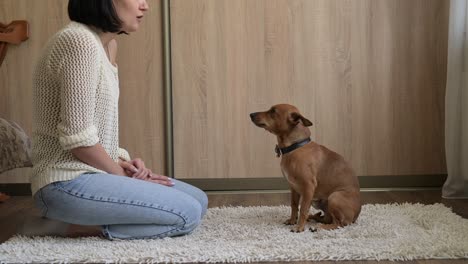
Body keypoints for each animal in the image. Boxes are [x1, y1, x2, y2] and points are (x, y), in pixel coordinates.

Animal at [249, 104, 362, 232]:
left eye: (273, 111)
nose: (251, 114)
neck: (295, 147)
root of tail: (355, 216)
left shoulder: (308, 187)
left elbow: (303, 209)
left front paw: (299, 227)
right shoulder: (293, 187)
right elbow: (294, 206)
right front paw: (292, 221)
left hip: (334, 197)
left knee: (339, 223)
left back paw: (319, 227)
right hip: (318, 201)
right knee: (327, 218)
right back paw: (313, 217)